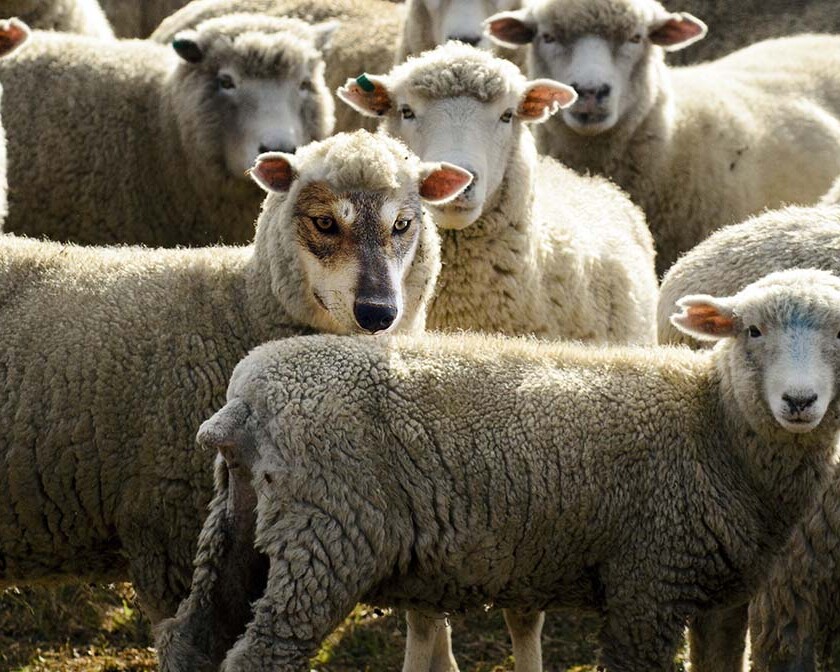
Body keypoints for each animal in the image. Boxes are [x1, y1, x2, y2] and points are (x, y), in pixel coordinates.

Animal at [157, 268, 840, 672]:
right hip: (325, 535)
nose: (799, 401)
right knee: (262, 655)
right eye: (752, 330)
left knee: (190, 638)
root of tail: (250, 391)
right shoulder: (648, 583)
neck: (715, 425)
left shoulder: (724, 598)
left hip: (241, 521)